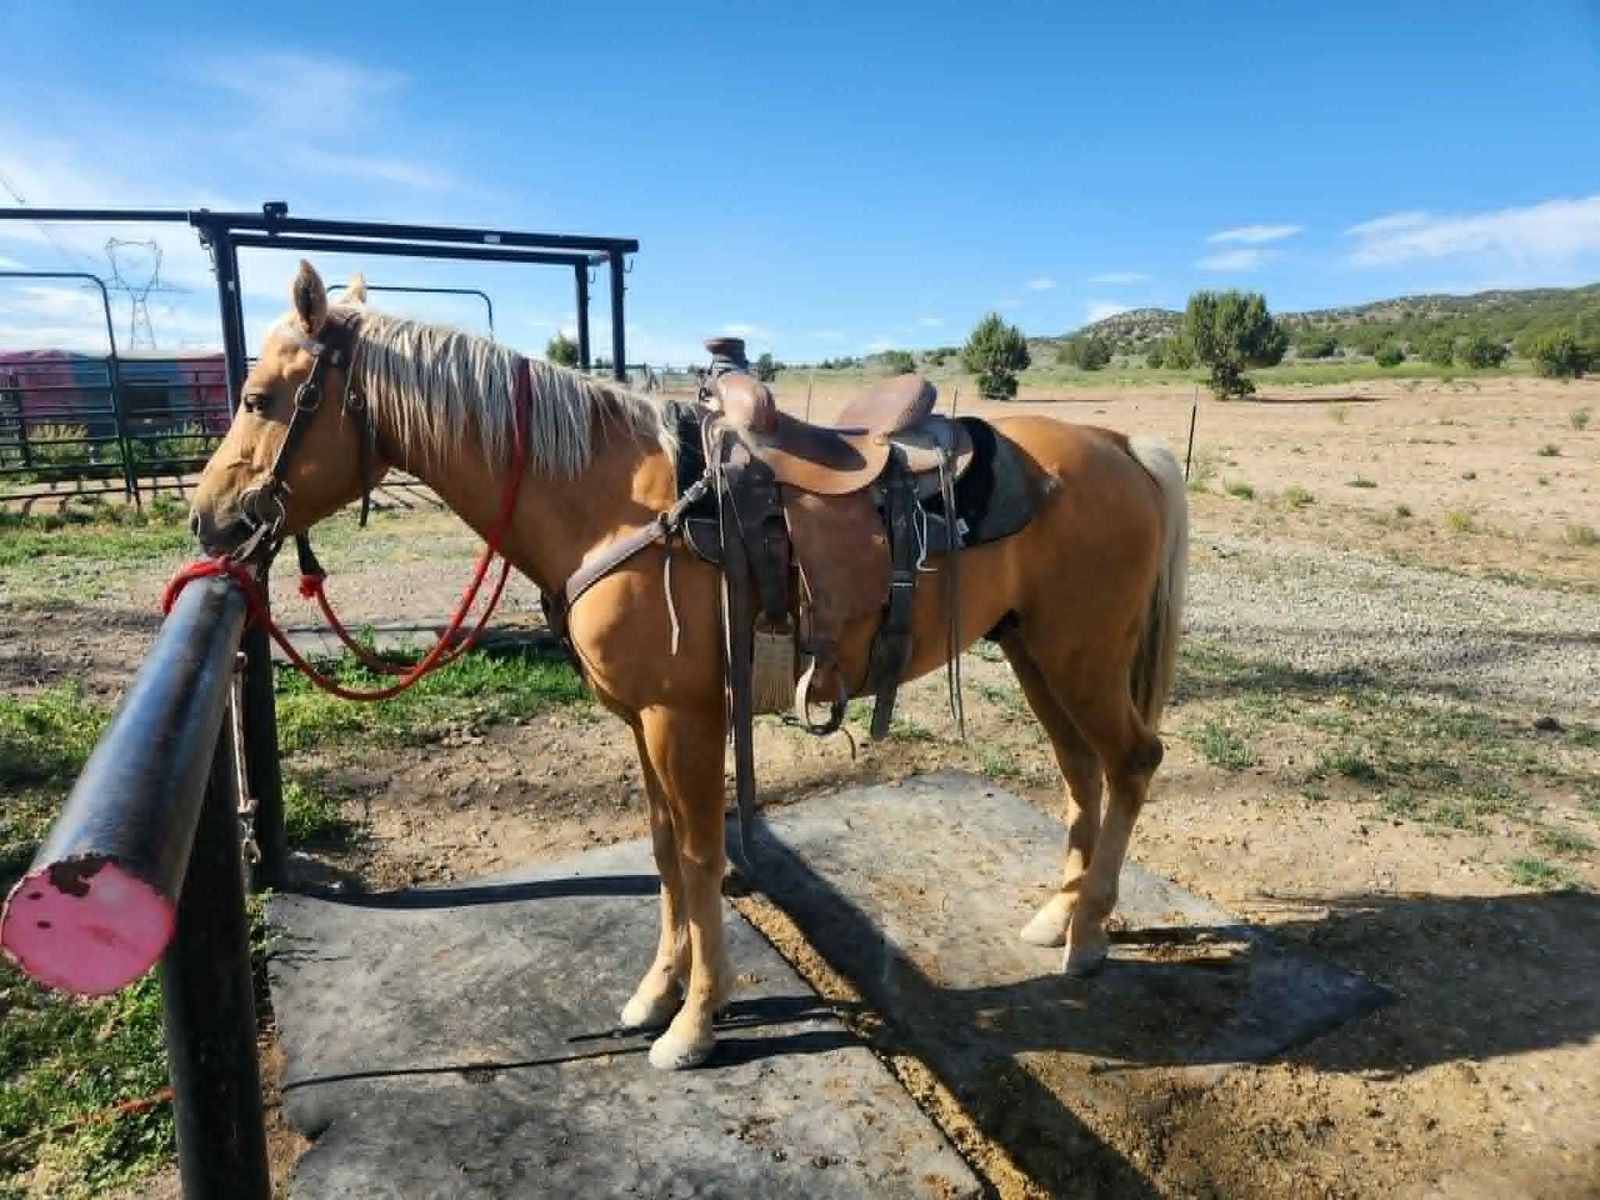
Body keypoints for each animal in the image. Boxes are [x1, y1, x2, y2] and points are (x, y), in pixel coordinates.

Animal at [189, 261, 1189, 1071]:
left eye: (258, 399)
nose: (206, 520)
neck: (613, 501)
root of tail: (1119, 445)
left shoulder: (688, 719)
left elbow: (707, 858)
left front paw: (697, 1025)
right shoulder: (643, 720)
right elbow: (667, 851)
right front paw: (654, 994)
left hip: (1080, 655)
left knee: (1133, 762)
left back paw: (1091, 936)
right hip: (1035, 651)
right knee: (1082, 773)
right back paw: (1059, 915)